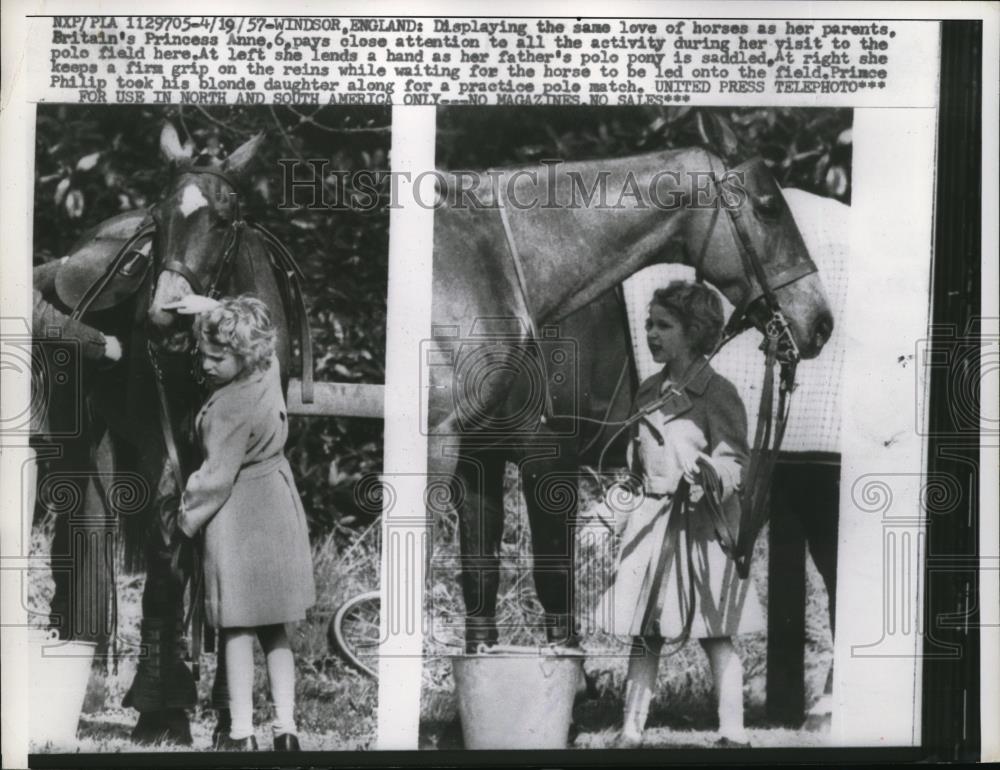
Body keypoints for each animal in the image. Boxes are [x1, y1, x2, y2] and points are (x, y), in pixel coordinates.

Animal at [38, 123, 304, 740]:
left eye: (224, 219)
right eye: (159, 219)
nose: (163, 319)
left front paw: (228, 707)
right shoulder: (157, 442)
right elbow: (166, 541)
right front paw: (165, 706)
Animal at [428, 146, 836, 648]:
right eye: (767, 208)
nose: (819, 322)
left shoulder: (546, 457)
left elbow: (553, 587)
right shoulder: (477, 457)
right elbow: (481, 582)